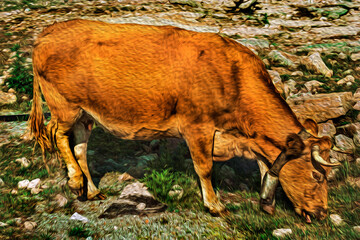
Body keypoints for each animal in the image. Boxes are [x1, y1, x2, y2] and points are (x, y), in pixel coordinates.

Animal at [29, 19, 338, 222]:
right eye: (317, 175)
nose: (322, 212)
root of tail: (48, 31)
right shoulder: (197, 126)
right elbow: (205, 168)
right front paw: (214, 205)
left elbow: (264, 167)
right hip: (64, 105)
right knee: (56, 135)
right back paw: (74, 181)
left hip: (86, 114)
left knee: (79, 147)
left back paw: (92, 191)